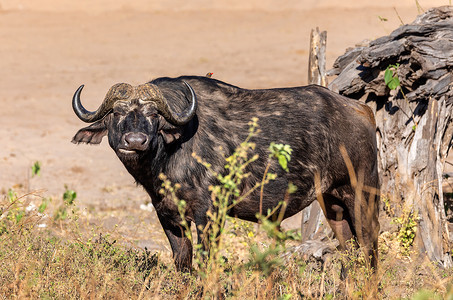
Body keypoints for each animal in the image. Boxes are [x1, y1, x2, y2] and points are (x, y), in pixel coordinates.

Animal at [72, 75, 380, 272]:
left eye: (154, 115)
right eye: (116, 113)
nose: (135, 141)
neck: (169, 156)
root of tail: (361, 109)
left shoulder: (209, 215)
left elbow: (207, 260)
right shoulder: (168, 216)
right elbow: (183, 261)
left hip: (361, 195)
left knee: (369, 244)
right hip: (332, 203)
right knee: (351, 249)